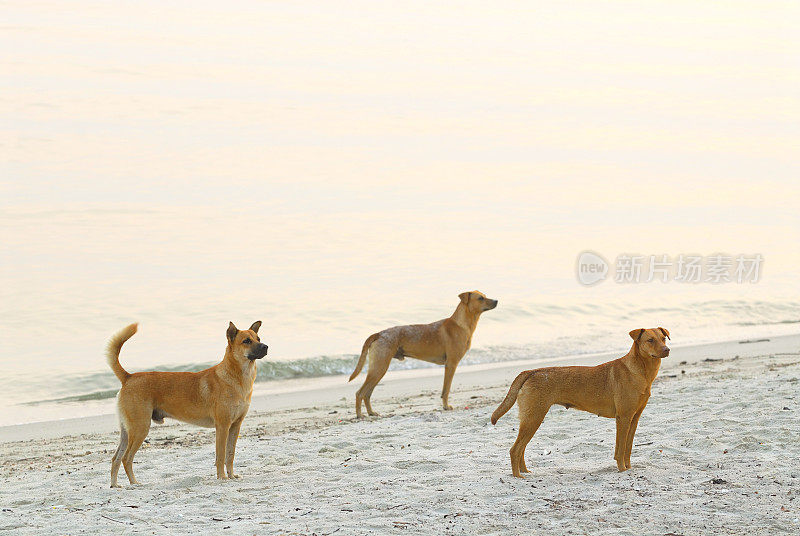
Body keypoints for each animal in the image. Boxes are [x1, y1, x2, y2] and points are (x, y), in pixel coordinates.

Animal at [104, 320, 268, 488]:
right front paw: (222, 477)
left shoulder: (235, 426)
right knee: (126, 458)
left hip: (127, 431)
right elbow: (221, 456)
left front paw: (231, 475)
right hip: (140, 429)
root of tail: (128, 377)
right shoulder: (223, 427)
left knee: (116, 458)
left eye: (258, 338)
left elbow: (230, 454)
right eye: (246, 341)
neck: (237, 377)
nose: (265, 346)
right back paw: (134, 483)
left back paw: (115, 485)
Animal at [348, 288, 496, 418]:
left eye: (485, 295)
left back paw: (371, 413)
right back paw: (360, 415)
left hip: (378, 370)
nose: (496, 300)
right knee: (360, 393)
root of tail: (378, 334)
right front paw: (446, 406)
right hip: (379, 368)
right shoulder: (451, 364)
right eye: (480, 298)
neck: (461, 324)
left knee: (367, 394)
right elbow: (446, 390)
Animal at [494, 328, 668, 476]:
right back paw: (518, 476)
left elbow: (628, 448)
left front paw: (628, 469)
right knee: (515, 450)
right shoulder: (624, 418)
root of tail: (531, 371)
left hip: (531, 419)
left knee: (521, 449)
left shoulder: (634, 418)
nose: (667, 350)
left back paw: (525, 472)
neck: (641, 371)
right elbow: (620, 450)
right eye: (650, 340)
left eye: (663, 338)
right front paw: (622, 470)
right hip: (533, 418)